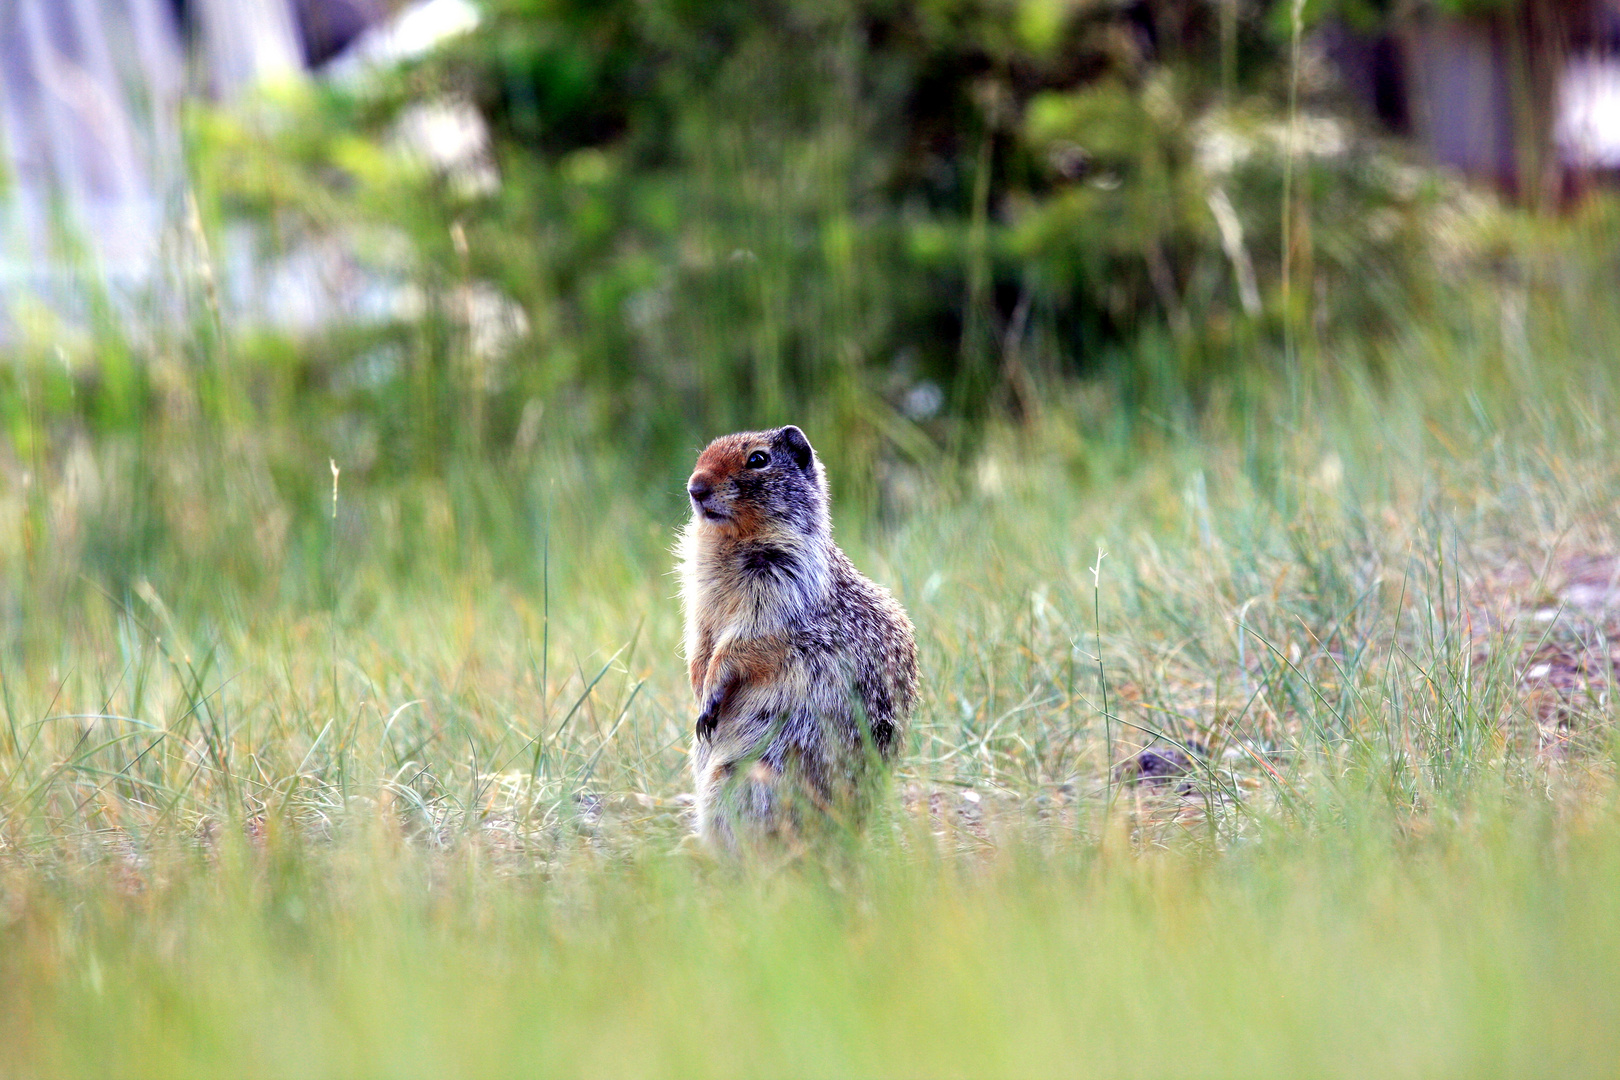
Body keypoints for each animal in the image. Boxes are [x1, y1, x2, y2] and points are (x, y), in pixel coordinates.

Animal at [677, 427, 920, 848]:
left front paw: (709, 695)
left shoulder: (781, 586)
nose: (695, 487)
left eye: (758, 459)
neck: (730, 540)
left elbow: (744, 643)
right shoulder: (701, 598)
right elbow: (699, 640)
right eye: (704, 452)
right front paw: (697, 686)